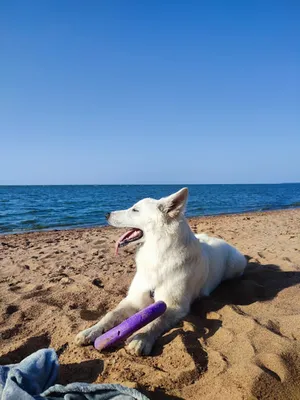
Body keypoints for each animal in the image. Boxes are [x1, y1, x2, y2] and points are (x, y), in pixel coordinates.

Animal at [75, 189, 246, 354]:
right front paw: (91, 331)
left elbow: (156, 320)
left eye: (135, 210)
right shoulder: (134, 299)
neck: (157, 255)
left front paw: (141, 338)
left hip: (236, 265)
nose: (106, 214)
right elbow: (111, 314)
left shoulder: (174, 306)